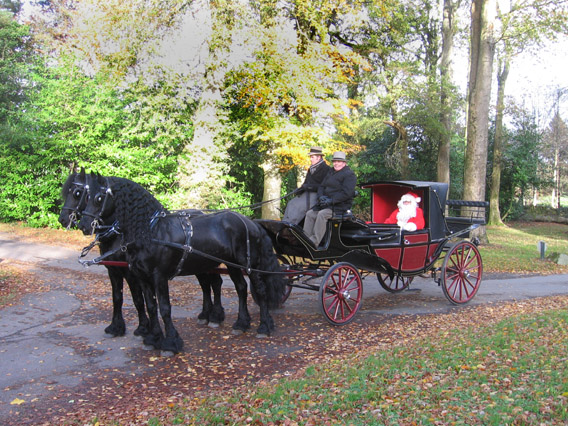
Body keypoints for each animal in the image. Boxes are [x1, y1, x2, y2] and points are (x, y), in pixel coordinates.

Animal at [77, 173, 286, 352]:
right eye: (86, 197)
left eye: (98, 198)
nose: (84, 226)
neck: (151, 232)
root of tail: (252, 223)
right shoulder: (142, 277)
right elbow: (150, 306)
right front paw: (153, 339)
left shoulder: (159, 277)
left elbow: (164, 308)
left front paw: (170, 343)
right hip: (231, 265)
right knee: (241, 288)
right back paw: (241, 323)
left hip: (248, 266)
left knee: (259, 290)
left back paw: (264, 326)